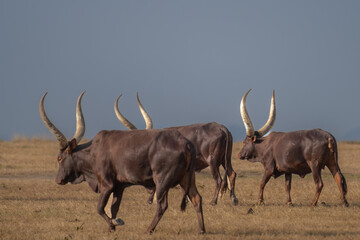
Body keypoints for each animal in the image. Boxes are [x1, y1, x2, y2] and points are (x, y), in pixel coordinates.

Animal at [39, 91, 205, 233]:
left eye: (59, 158)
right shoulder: (118, 187)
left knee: (162, 205)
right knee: (196, 198)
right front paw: (112, 226)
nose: (58, 180)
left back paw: (149, 230)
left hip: (162, 180)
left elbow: (100, 208)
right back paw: (201, 230)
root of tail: (185, 143)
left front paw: (114, 225)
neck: (93, 151)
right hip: (187, 178)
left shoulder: (107, 184)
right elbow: (113, 209)